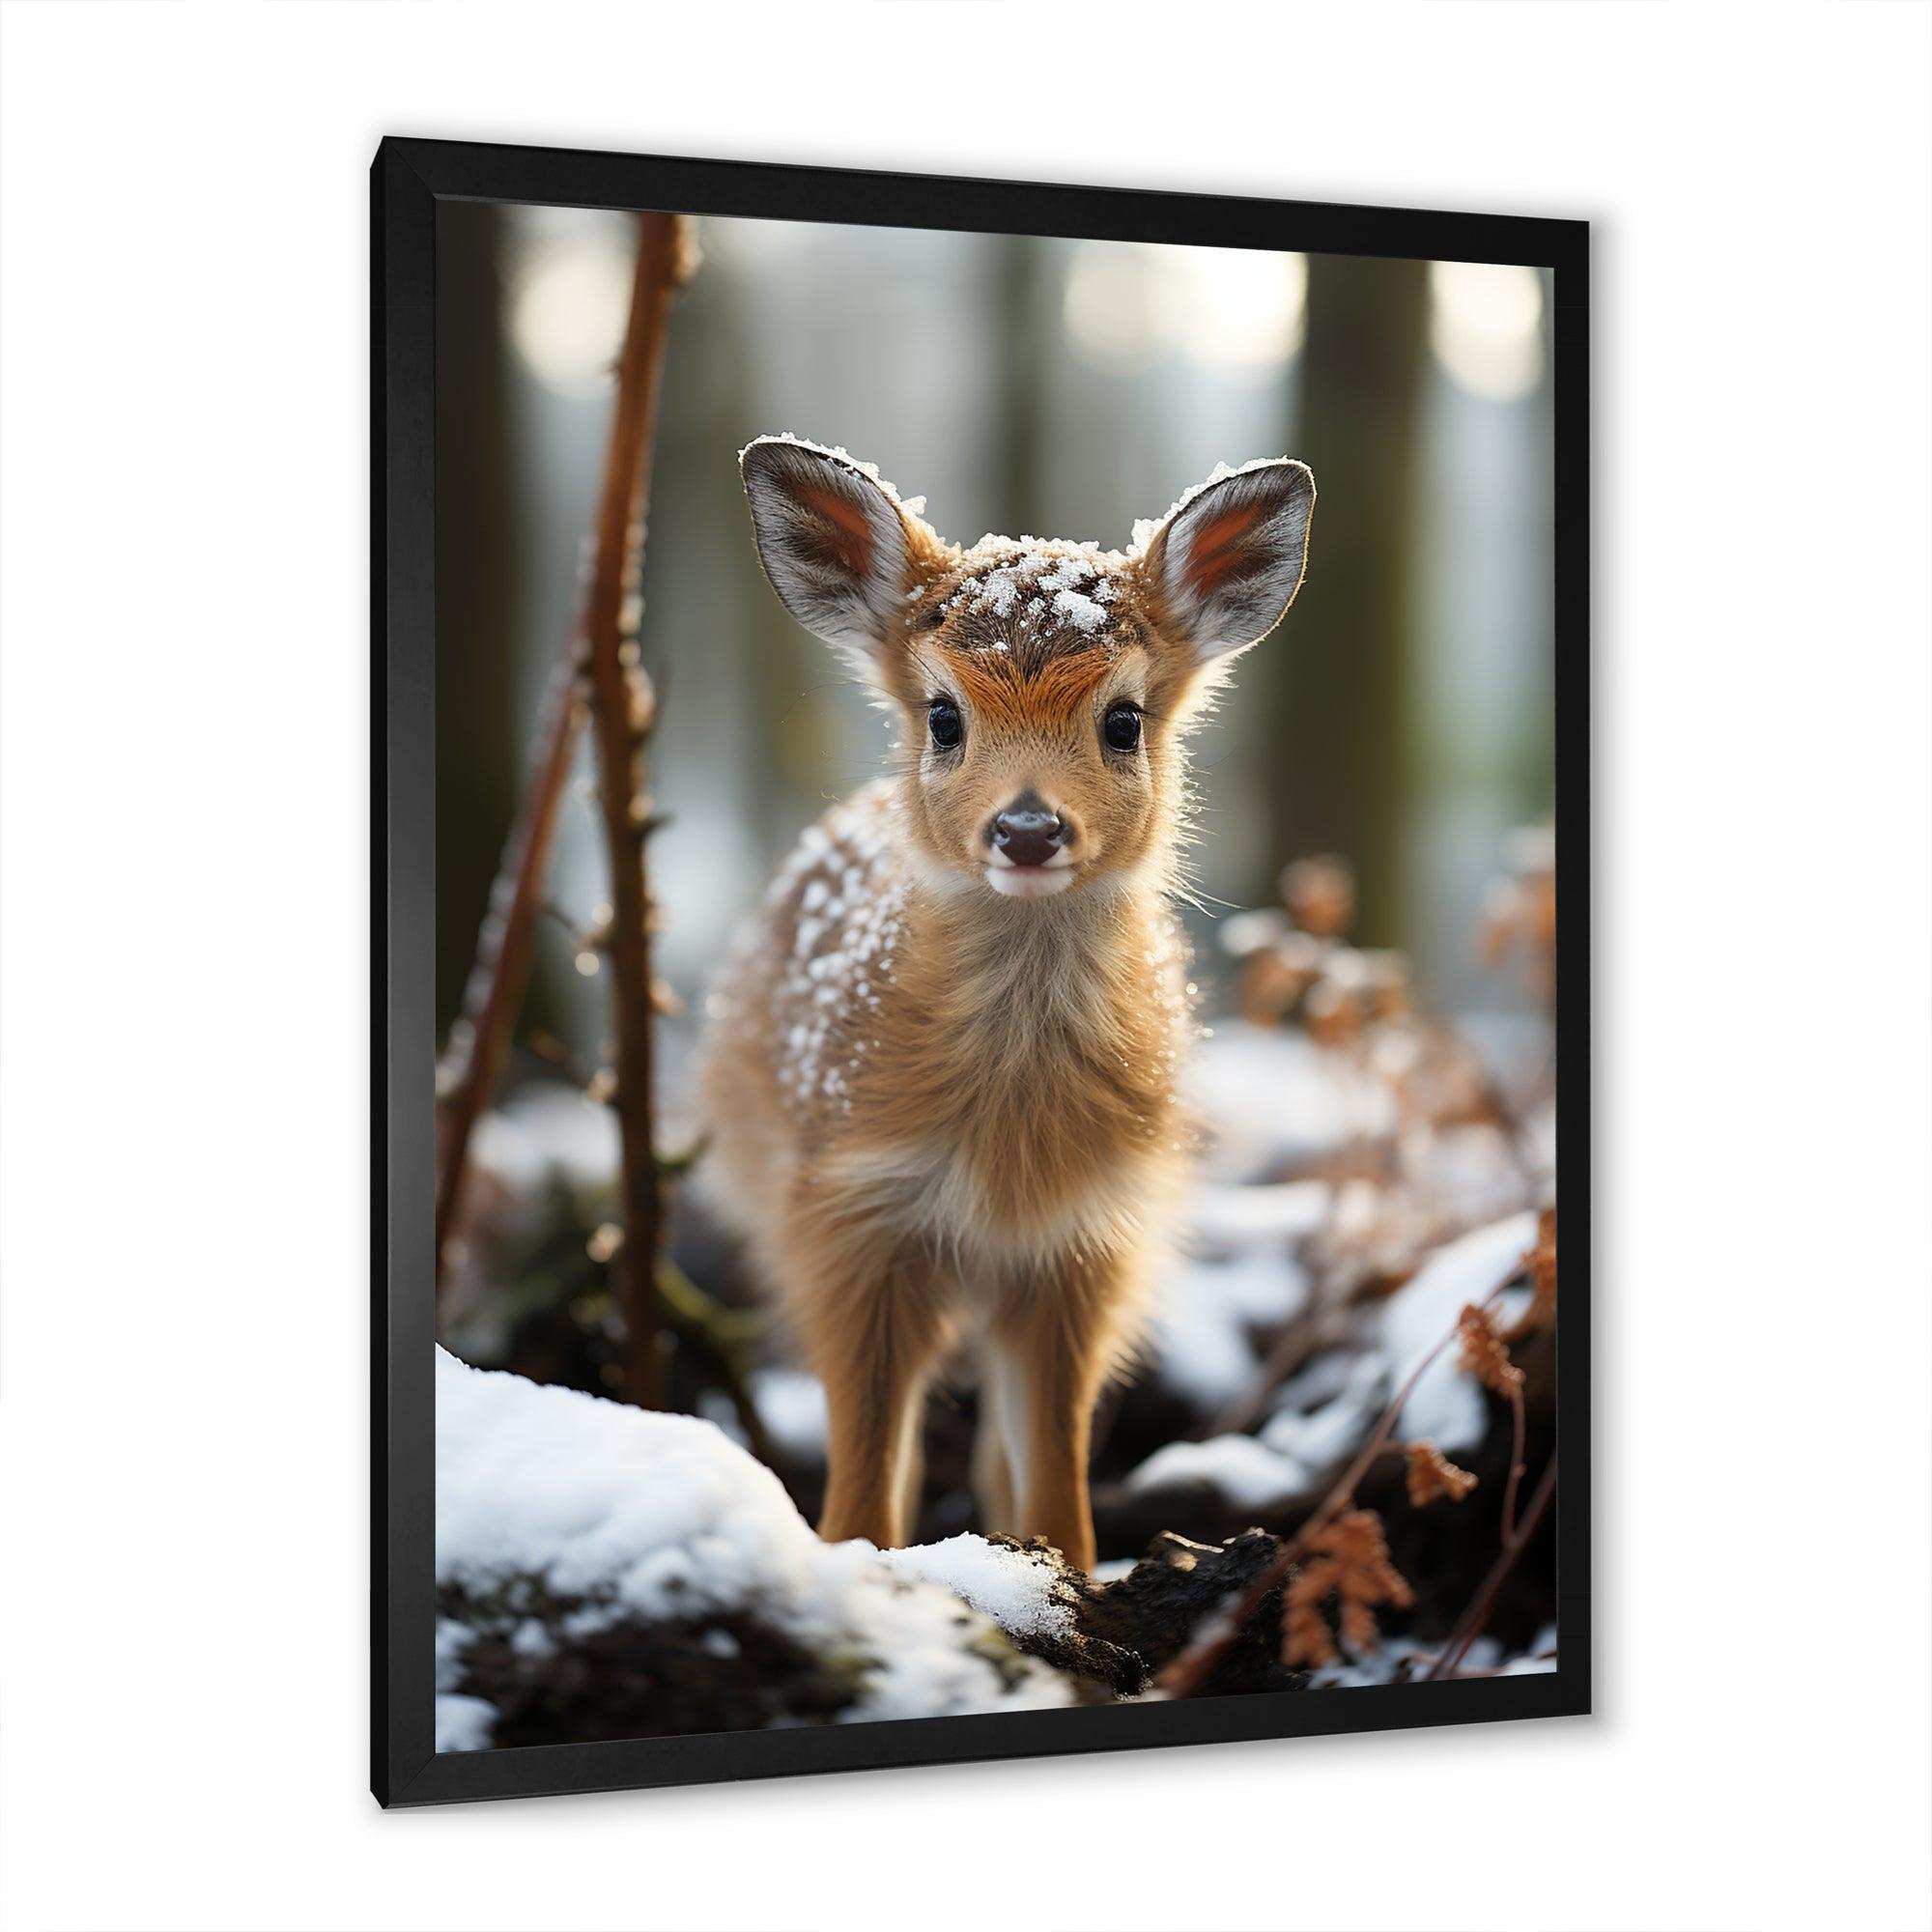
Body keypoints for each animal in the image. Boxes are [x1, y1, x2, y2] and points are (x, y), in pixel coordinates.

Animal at [698, 434, 1315, 1574]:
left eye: (1122, 719)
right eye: (944, 715)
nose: (1028, 828)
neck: (1004, 1151)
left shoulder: (1084, 1245)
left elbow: (1056, 1466)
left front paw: (1067, 1580)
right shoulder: (846, 1217)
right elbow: (864, 1477)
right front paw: (873, 1577)